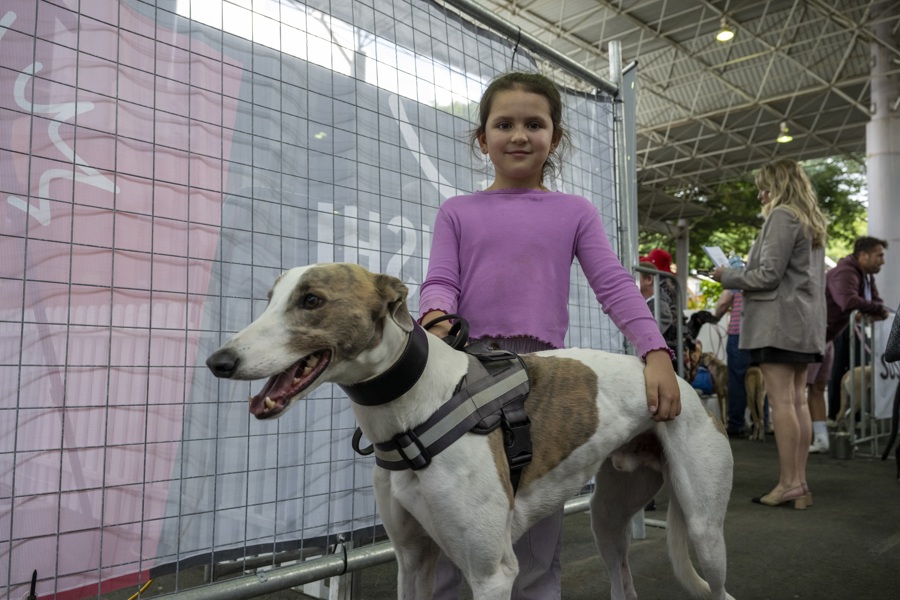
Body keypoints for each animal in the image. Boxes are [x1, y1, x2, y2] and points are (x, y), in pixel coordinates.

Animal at [206, 263, 735, 600]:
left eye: (312, 300)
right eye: (269, 301)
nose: (217, 362)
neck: (414, 410)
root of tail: (673, 378)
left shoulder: (491, 572)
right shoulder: (412, 558)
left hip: (705, 530)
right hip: (608, 518)